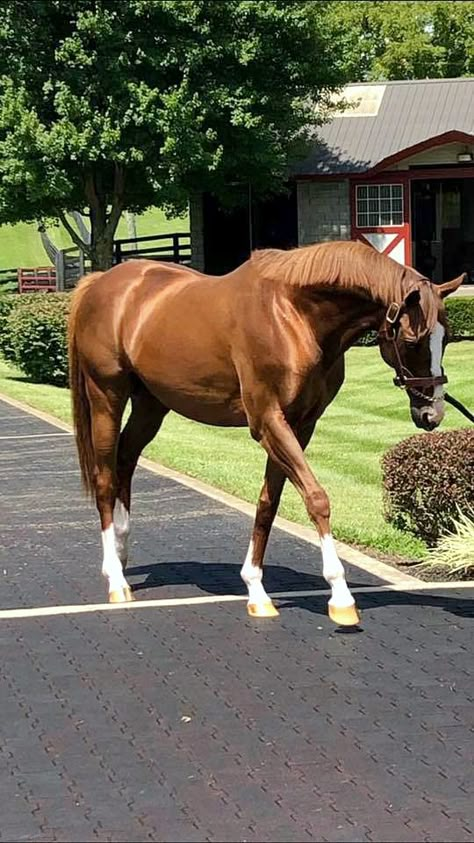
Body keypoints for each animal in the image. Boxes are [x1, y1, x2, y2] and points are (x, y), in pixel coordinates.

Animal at [67, 241, 462, 624]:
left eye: (446, 339)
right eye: (412, 341)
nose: (432, 412)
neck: (293, 317)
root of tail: (100, 283)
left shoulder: (300, 426)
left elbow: (268, 503)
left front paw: (256, 590)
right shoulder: (268, 421)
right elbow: (316, 498)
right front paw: (340, 596)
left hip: (151, 405)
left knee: (125, 461)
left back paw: (121, 554)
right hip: (107, 397)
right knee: (105, 478)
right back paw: (115, 579)